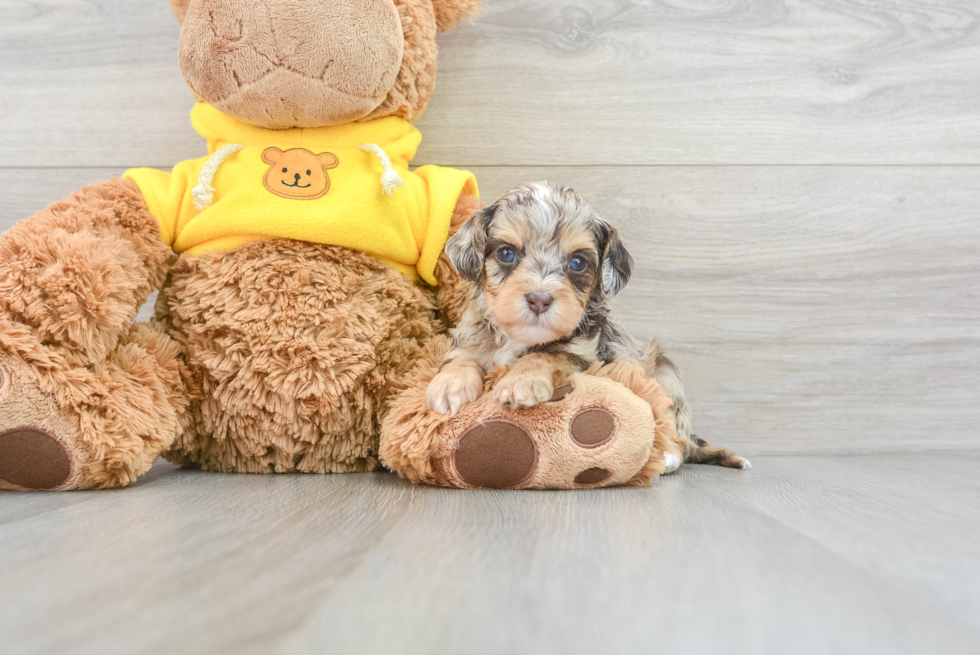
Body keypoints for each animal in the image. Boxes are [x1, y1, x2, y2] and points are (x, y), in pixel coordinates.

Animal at [428, 179, 752, 472]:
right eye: (507, 253)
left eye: (578, 262)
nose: (539, 299)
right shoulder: (468, 338)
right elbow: (460, 359)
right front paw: (449, 385)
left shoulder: (586, 358)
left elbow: (545, 355)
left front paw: (521, 380)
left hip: (666, 373)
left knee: (678, 435)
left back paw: (667, 456)